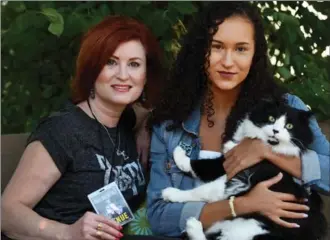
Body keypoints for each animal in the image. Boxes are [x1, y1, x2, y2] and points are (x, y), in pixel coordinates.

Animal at [161, 100, 326, 240]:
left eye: (289, 126)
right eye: (271, 118)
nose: (275, 131)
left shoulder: (239, 174)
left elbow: (203, 183)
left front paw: (171, 192)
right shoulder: (233, 164)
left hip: (250, 227)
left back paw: (192, 226)